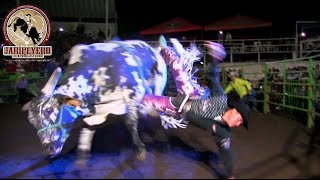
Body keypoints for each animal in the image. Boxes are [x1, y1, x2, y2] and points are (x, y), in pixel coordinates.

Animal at [21, 39, 170, 162]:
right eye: (31, 121)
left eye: (49, 110)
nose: (49, 148)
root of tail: (154, 49)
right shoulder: (95, 111)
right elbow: (87, 131)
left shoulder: (131, 95)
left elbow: (131, 122)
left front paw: (140, 149)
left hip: (157, 86)